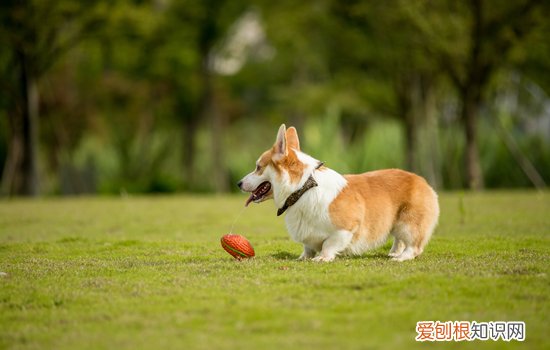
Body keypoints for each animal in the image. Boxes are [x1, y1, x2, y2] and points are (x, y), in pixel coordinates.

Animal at [237, 124, 440, 262]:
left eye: (258, 167)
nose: (238, 183)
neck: (304, 188)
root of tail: (422, 181)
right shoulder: (307, 236)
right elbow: (308, 247)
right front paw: (303, 257)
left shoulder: (346, 228)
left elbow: (329, 244)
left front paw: (322, 258)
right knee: (399, 240)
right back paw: (394, 252)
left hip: (408, 224)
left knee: (414, 245)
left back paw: (401, 257)